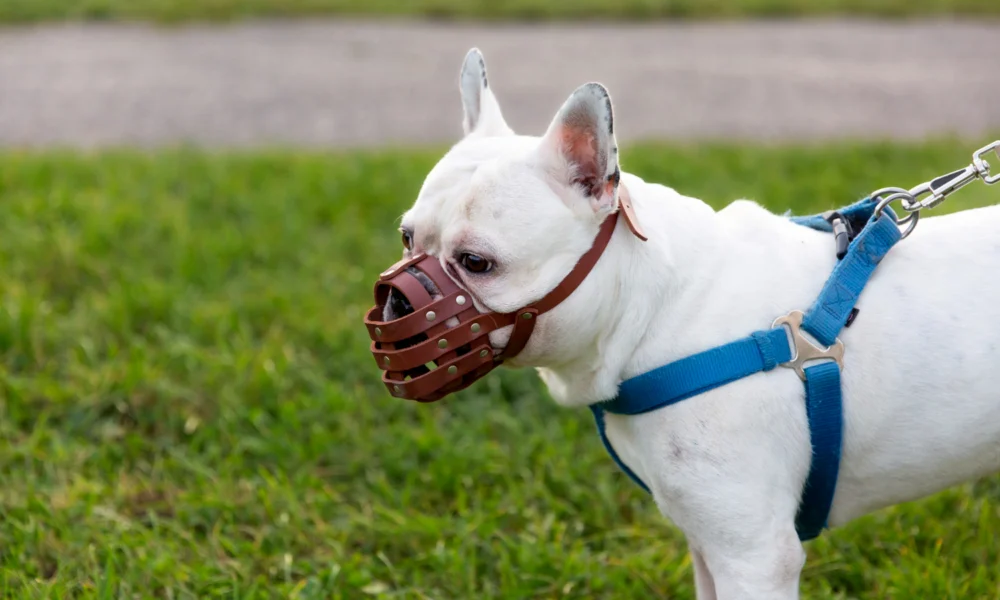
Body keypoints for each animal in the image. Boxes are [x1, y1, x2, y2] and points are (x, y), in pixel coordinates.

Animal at [394, 49, 1000, 596]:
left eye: (477, 263)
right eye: (406, 237)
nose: (397, 302)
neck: (657, 308)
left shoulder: (754, 555)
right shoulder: (708, 541)